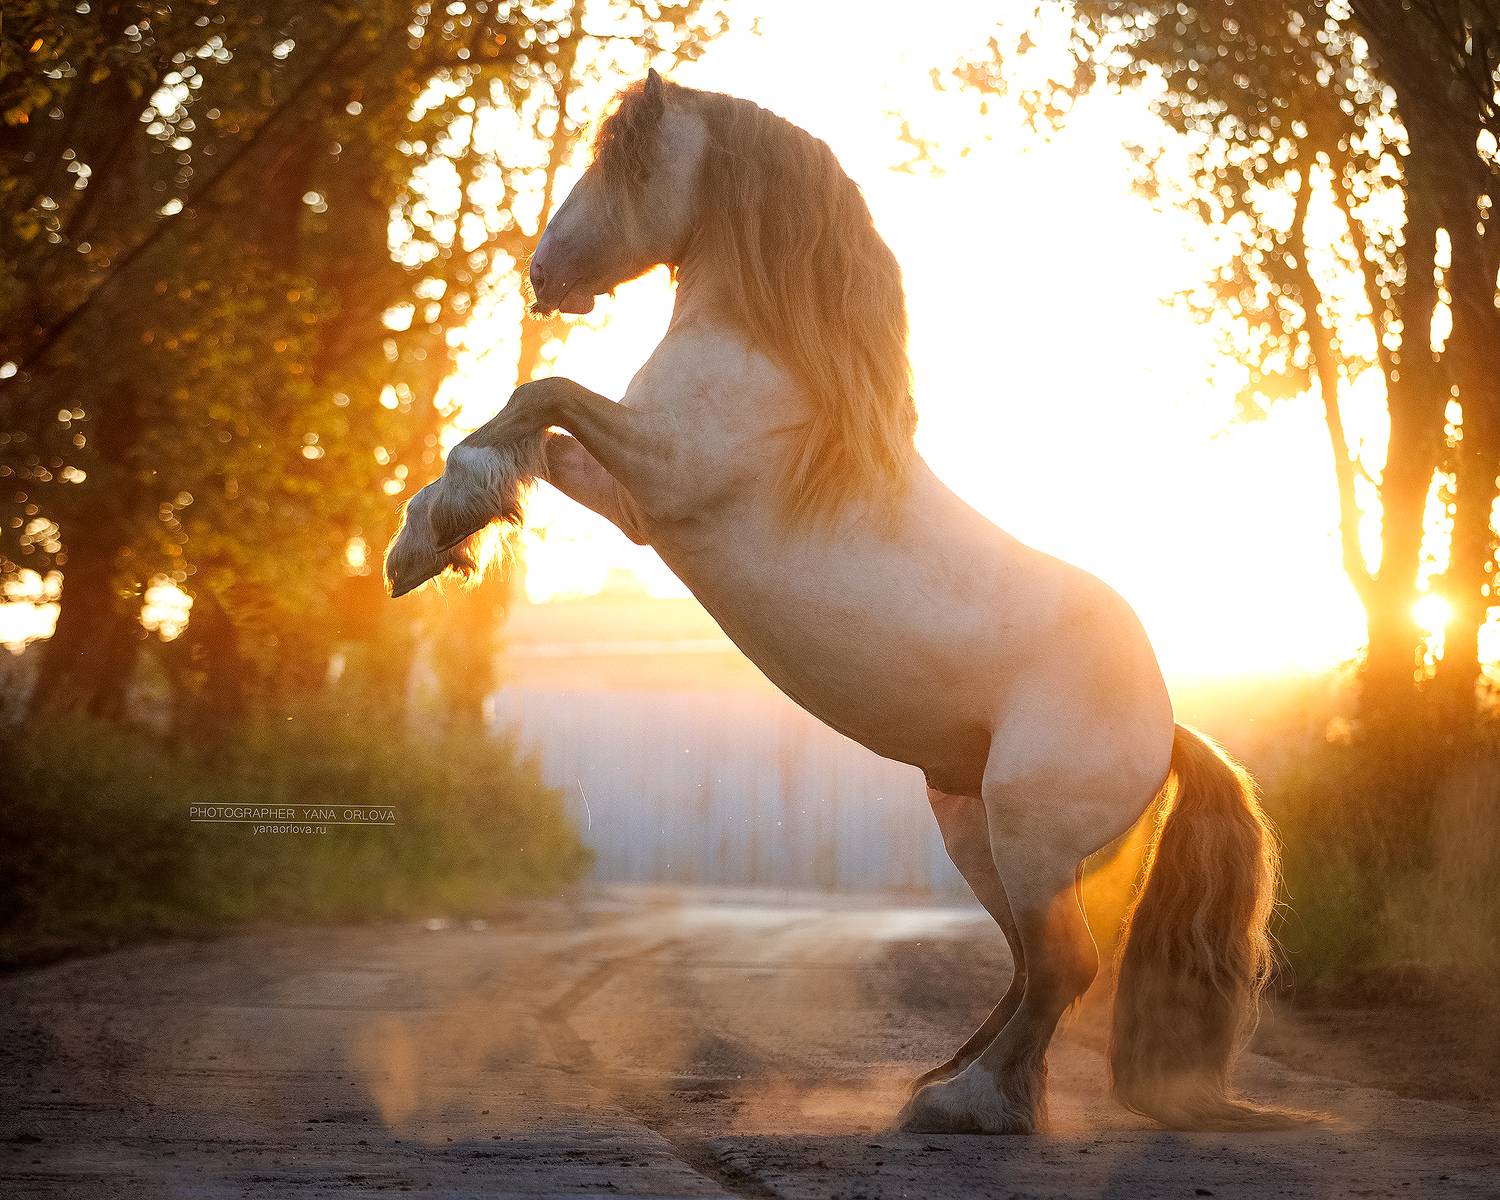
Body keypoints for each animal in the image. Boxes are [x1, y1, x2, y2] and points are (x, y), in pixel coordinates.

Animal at [385, 70, 1299, 1136]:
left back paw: (962, 1105)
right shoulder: (638, 505)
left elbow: (542, 392)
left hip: (1027, 836)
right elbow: (537, 423)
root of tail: (1168, 728)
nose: (541, 276)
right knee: (1030, 966)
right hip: (974, 829)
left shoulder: (665, 468)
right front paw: (429, 541)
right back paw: (957, 1084)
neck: (775, 371)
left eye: (624, 162)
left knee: (1065, 966)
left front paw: (428, 535)